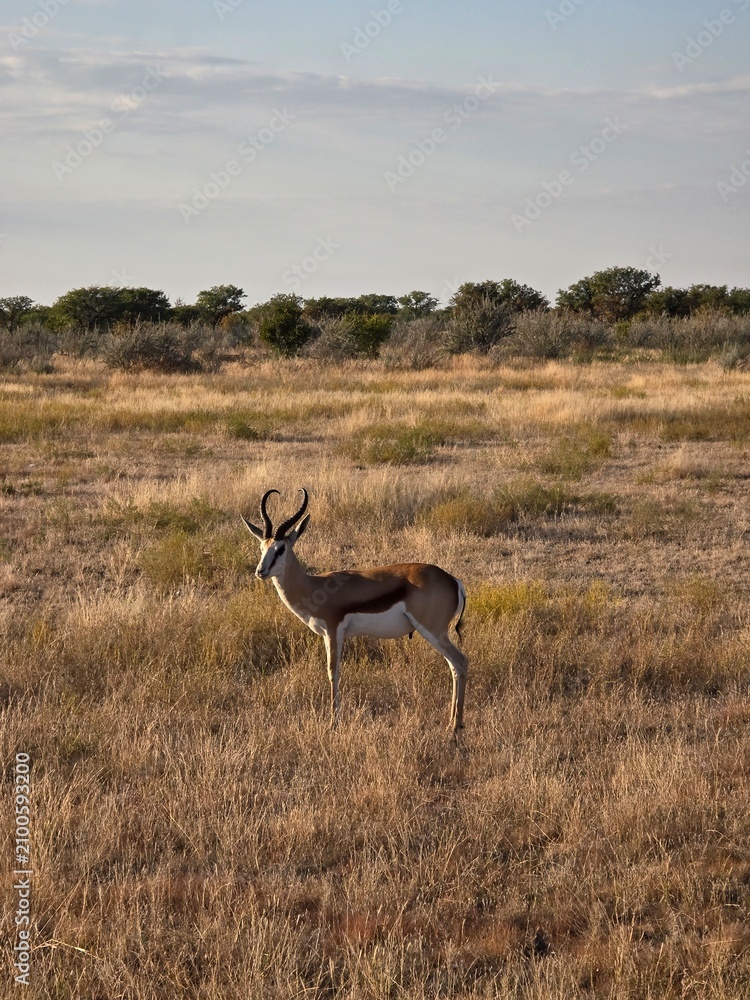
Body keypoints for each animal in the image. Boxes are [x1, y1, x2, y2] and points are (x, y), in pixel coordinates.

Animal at [242, 488, 468, 731]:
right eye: (262, 547)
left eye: (281, 549)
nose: (260, 571)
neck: (313, 586)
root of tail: (453, 581)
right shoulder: (327, 635)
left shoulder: (333, 631)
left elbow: (333, 672)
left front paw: (333, 723)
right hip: (437, 634)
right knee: (454, 667)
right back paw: (452, 722)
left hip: (433, 631)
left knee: (461, 662)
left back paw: (456, 727)